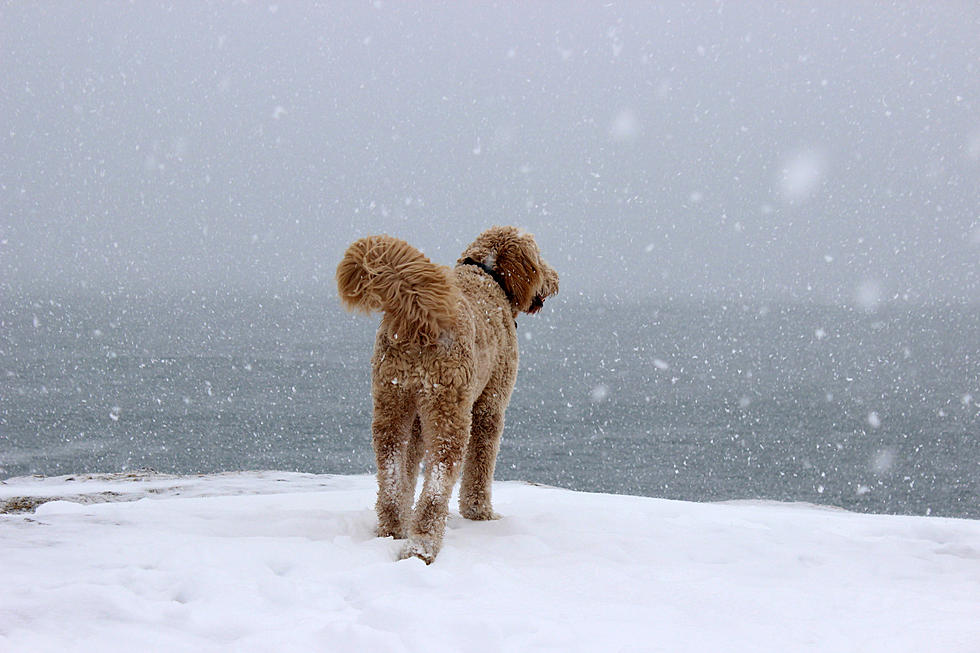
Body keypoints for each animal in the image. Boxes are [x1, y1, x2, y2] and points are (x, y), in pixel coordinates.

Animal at [338, 227, 560, 564]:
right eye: (538, 256)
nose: (555, 279)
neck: (487, 275)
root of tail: (420, 313)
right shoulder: (489, 406)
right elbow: (480, 464)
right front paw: (480, 513)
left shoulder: (417, 418)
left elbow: (407, 469)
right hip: (451, 413)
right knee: (438, 483)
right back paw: (422, 546)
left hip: (392, 404)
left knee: (390, 470)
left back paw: (392, 529)